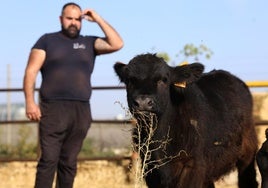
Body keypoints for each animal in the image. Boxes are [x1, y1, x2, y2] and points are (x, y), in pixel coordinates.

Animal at [114, 53, 258, 188]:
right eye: (130, 80)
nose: (143, 102)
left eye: (164, 79)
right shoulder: (150, 170)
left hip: (247, 153)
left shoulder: (192, 166)